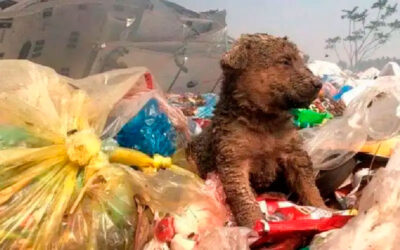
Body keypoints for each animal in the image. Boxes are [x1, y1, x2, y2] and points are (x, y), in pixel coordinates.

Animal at [189, 34, 326, 228]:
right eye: (285, 61)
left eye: (300, 61)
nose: (318, 84)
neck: (263, 120)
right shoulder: (234, 159)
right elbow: (244, 197)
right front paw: (254, 224)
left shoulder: (294, 153)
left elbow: (309, 186)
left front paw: (324, 209)